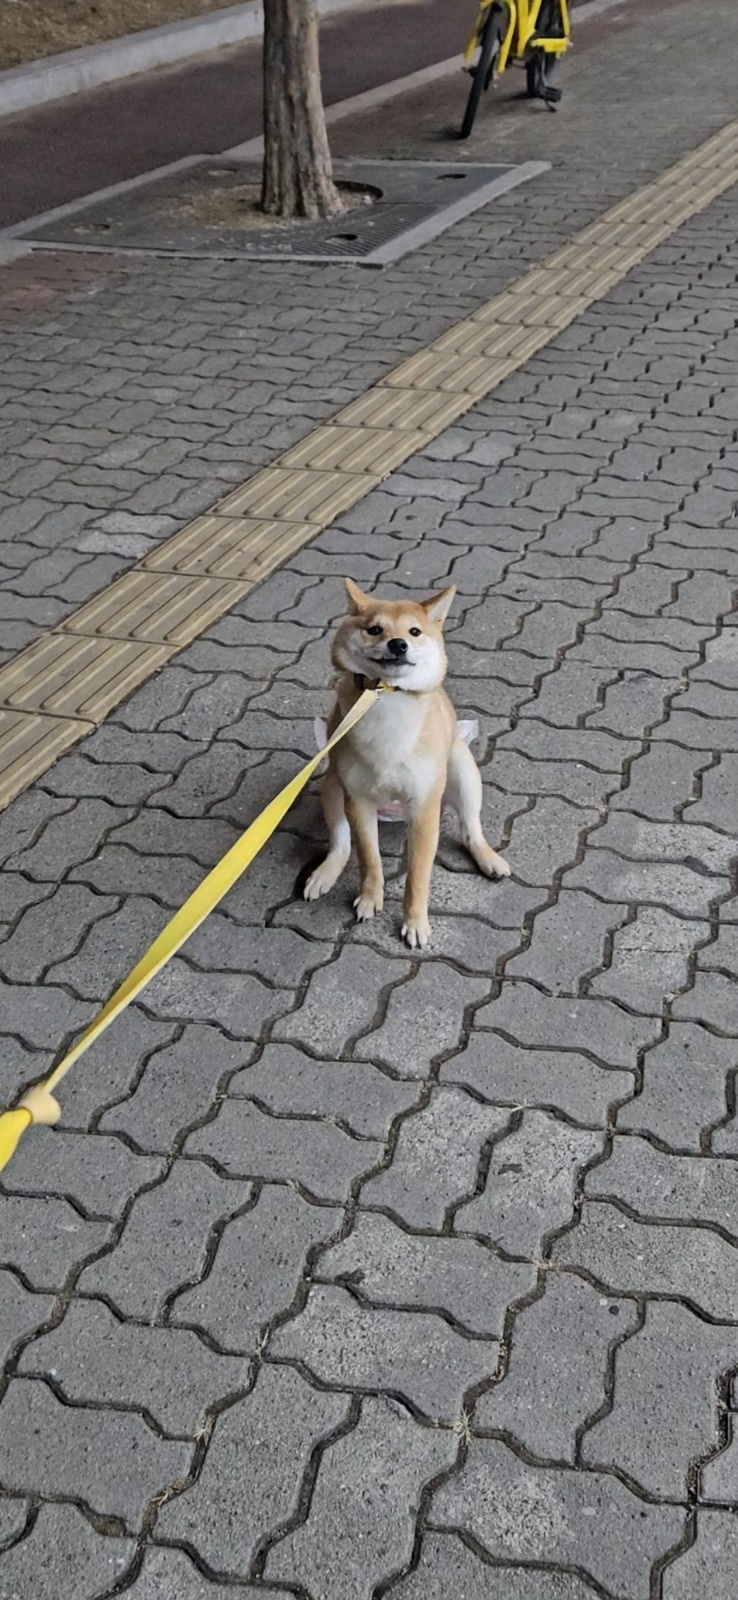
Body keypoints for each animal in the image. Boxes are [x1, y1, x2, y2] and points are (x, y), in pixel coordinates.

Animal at [302, 579, 509, 940]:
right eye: (374, 629)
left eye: (414, 631)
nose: (398, 644)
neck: (386, 697)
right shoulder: (358, 803)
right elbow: (369, 859)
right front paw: (370, 898)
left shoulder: (424, 808)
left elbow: (417, 877)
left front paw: (414, 922)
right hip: (332, 787)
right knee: (341, 844)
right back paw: (324, 873)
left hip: (462, 770)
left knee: (470, 829)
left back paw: (488, 858)